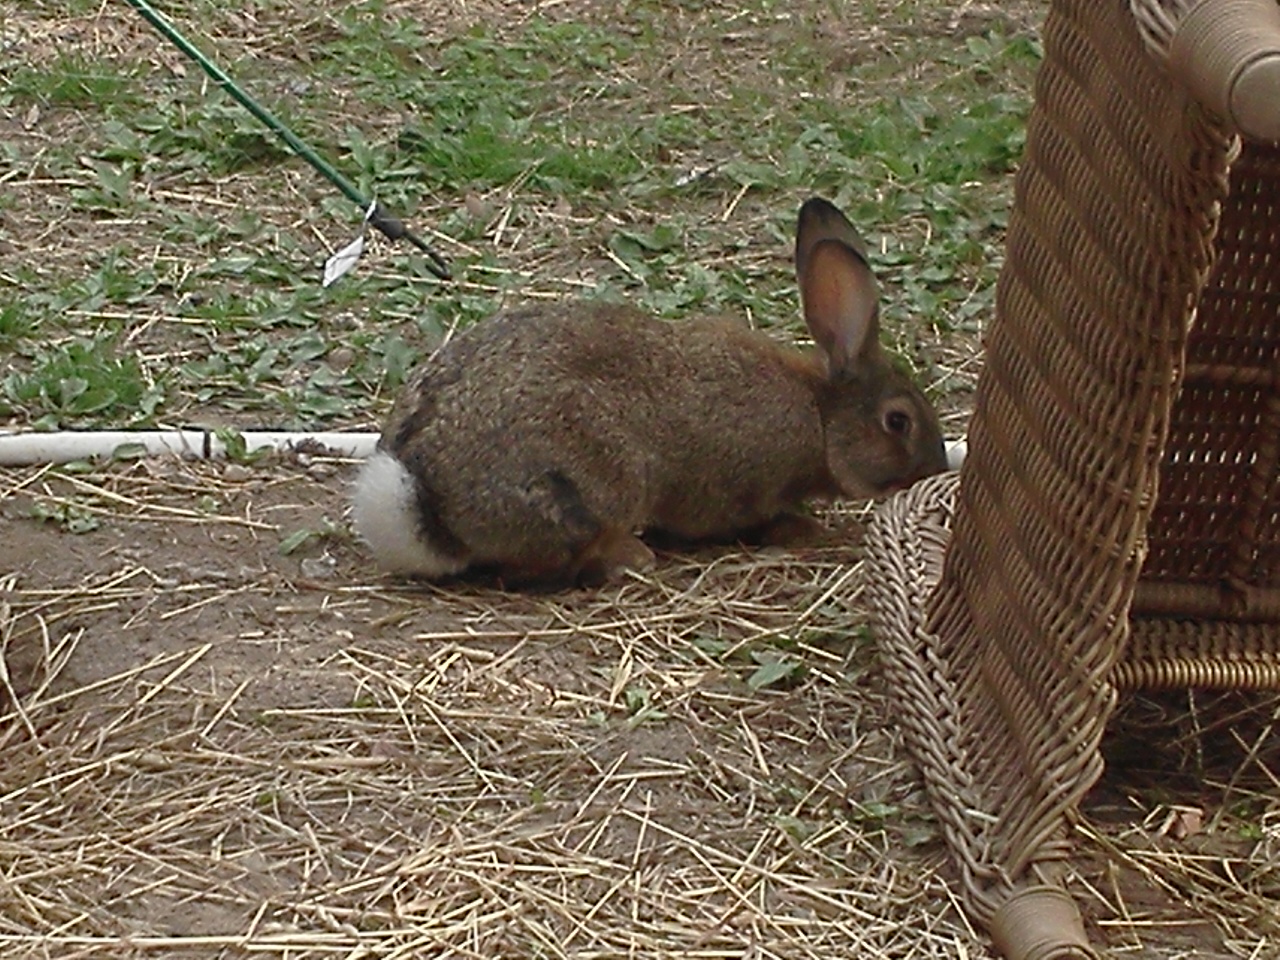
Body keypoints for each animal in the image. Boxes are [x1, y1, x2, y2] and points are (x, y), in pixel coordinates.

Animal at [353, 195, 952, 586]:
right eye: (898, 421)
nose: (933, 471)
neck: (820, 414)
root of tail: (425, 504)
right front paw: (803, 528)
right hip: (590, 485)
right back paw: (632, 557)